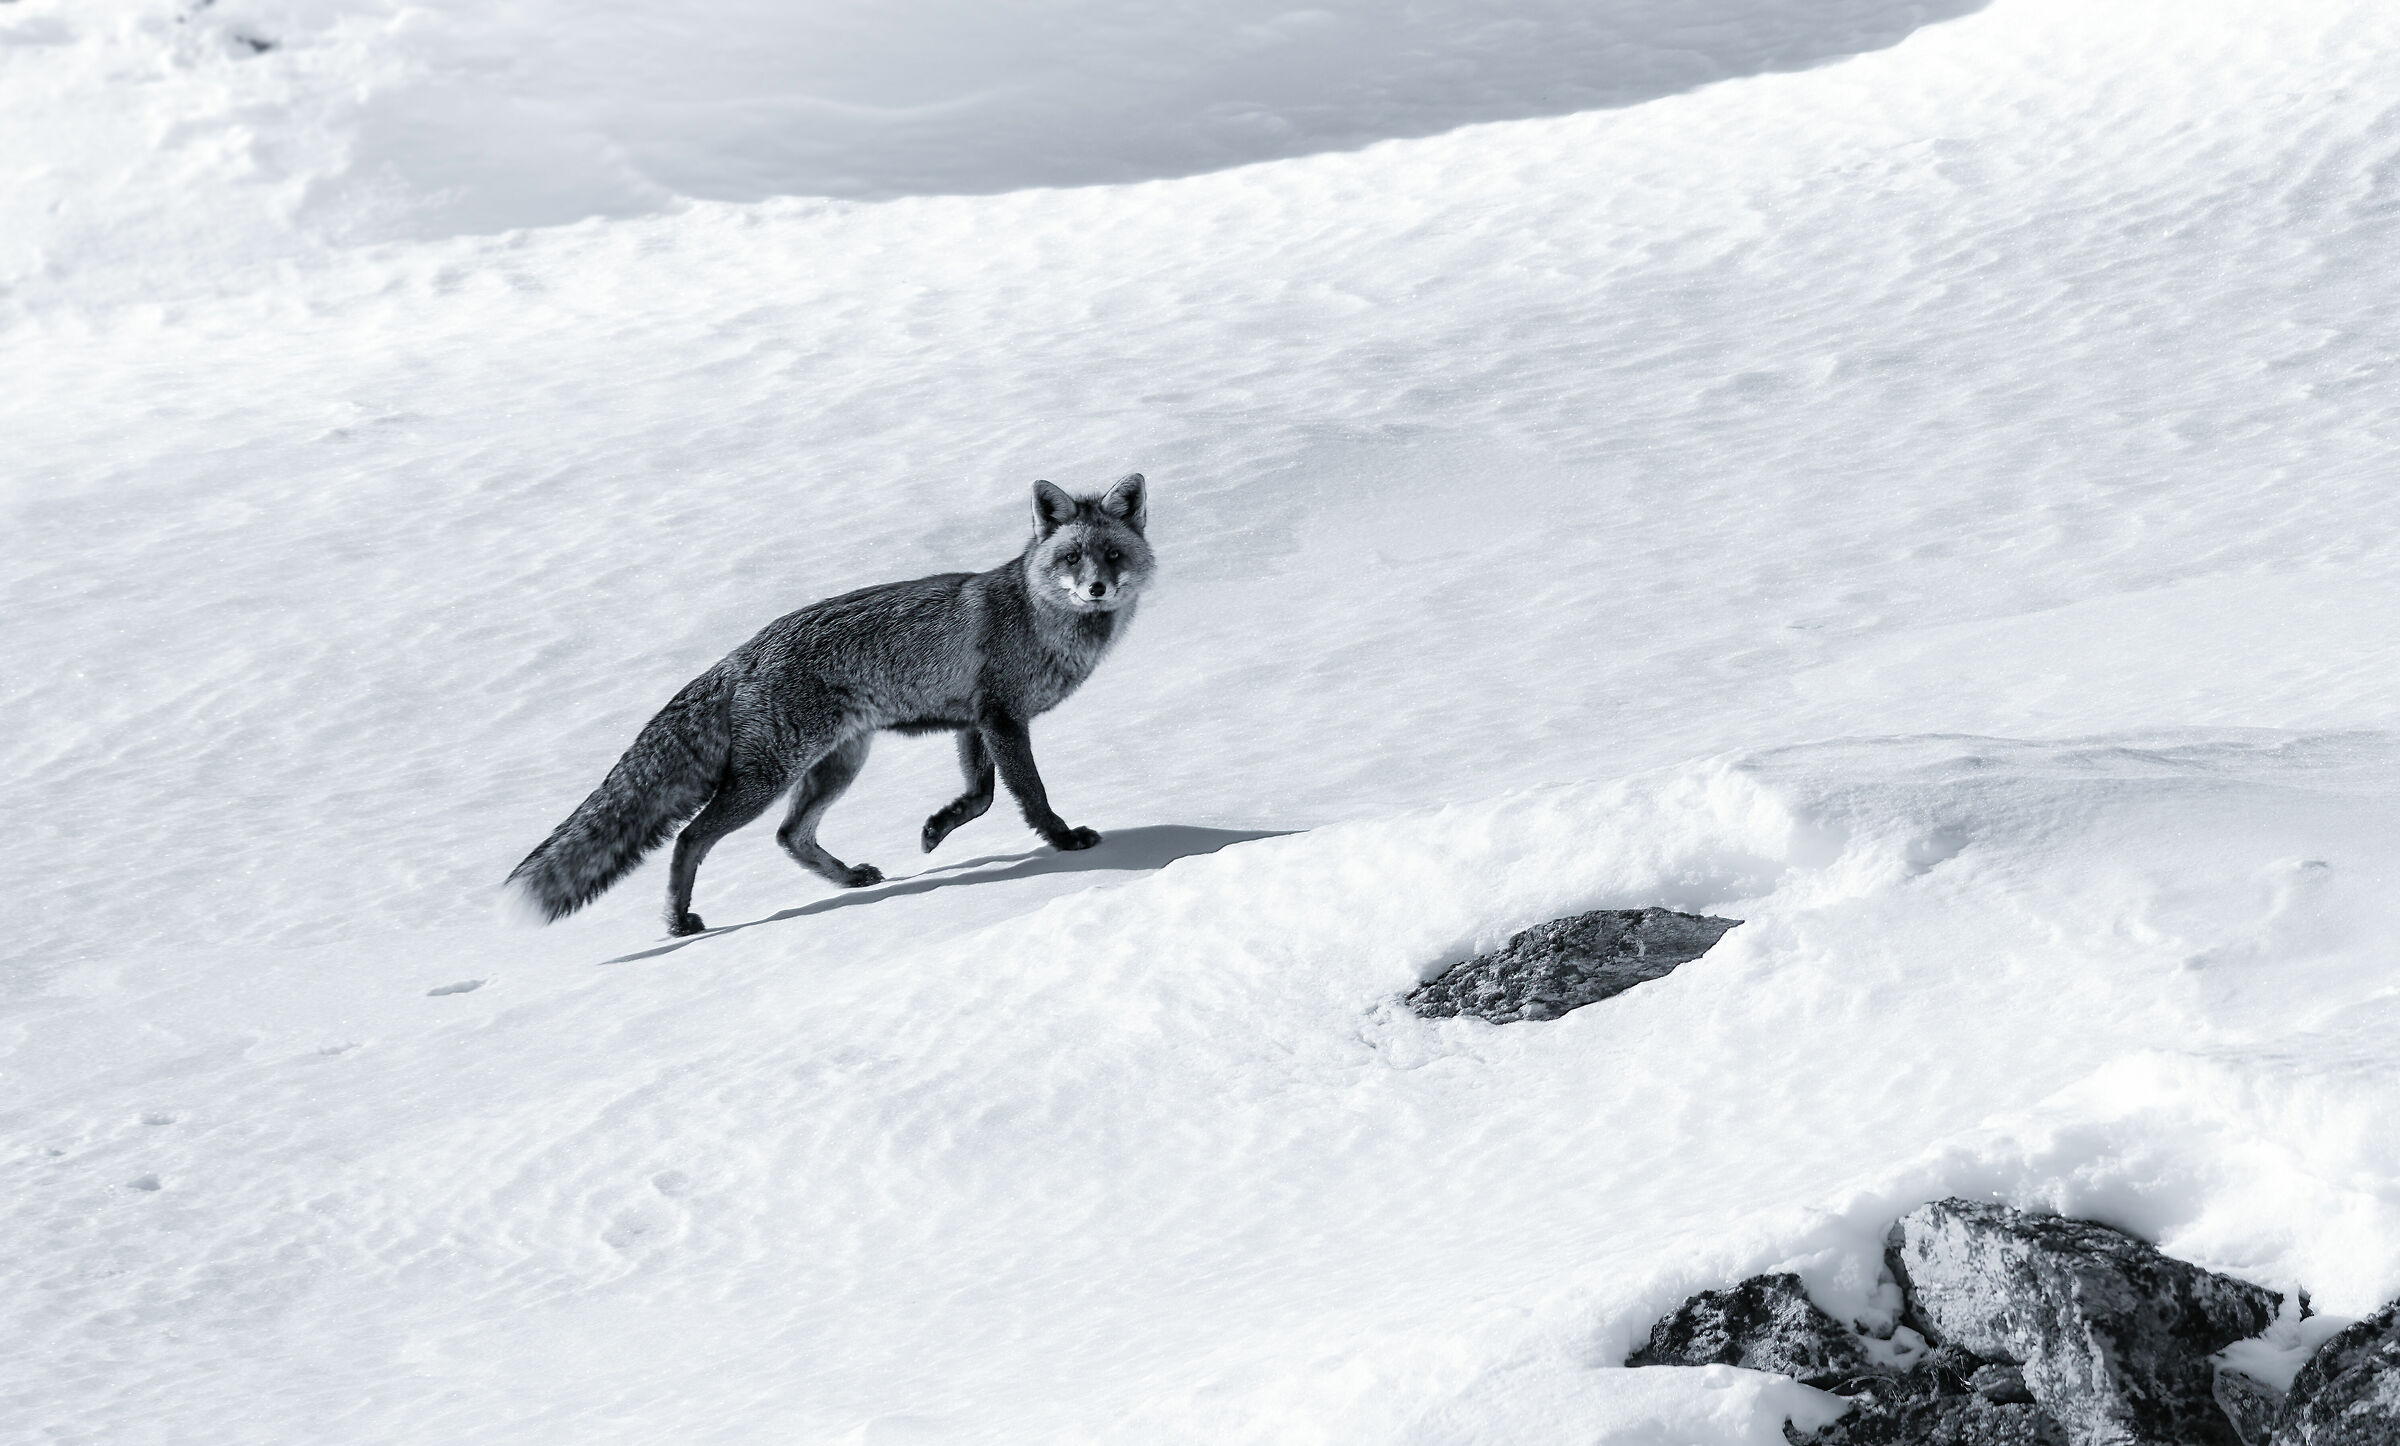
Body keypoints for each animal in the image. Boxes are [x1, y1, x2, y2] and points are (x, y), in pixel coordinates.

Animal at [507, 473, 1154, 936]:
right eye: (1071, 558)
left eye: (1112, 556)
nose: (1097, 588)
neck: (1039, 620)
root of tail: (740, 654)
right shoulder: (1001, 718)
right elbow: (1028, 794)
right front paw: (1063, 841)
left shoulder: (974, 721)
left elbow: (980, 796)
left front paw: (936, 829)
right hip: (769, 778)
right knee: (691, 838)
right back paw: (678, 921)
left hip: (838, 765)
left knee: (789, 836)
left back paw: (848, 879)